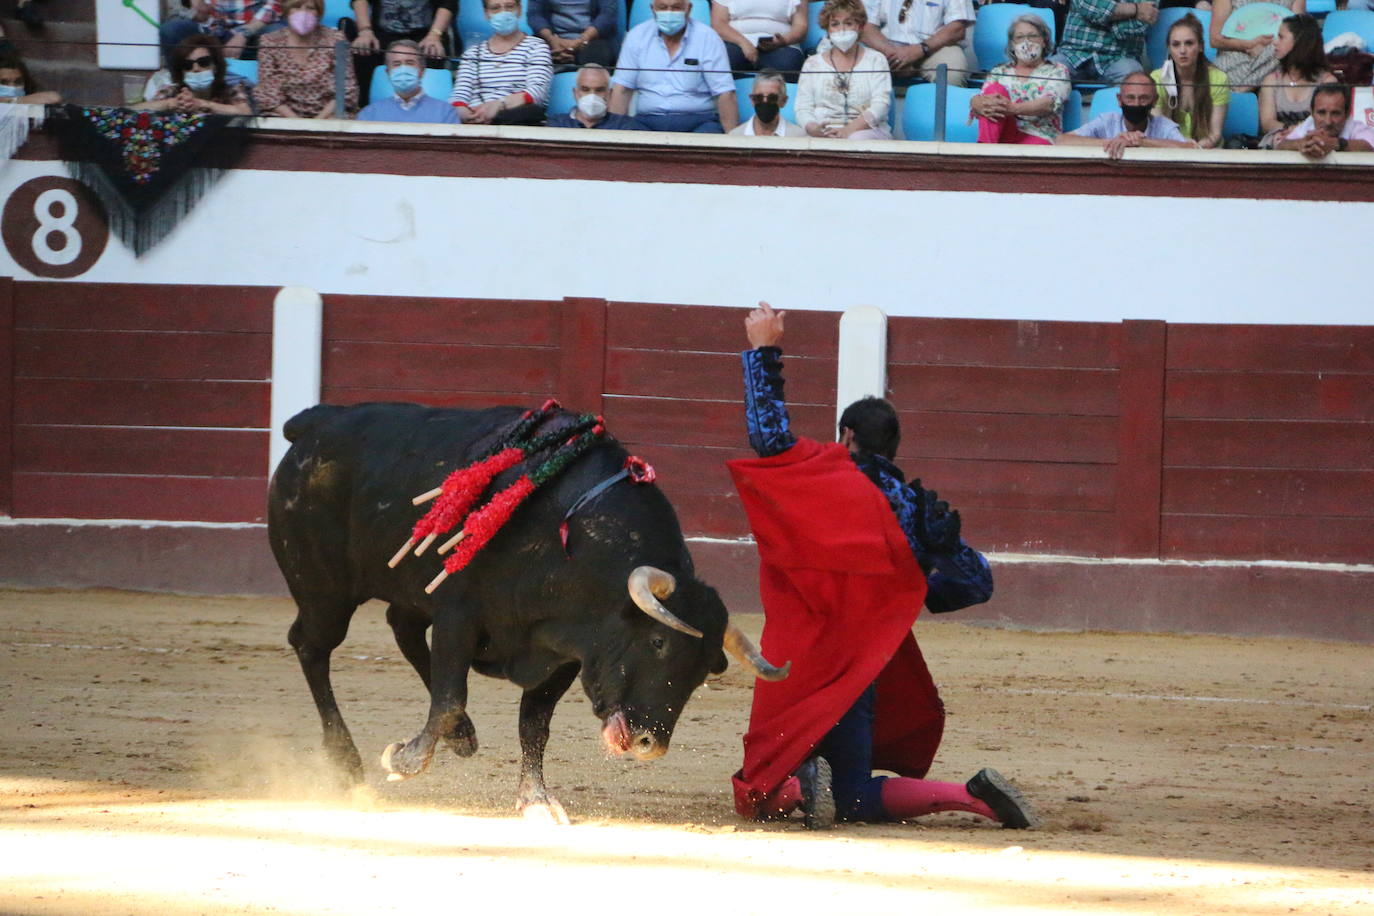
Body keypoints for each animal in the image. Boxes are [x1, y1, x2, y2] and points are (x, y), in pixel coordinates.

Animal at [267, 401, 785, 823]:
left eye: (703, 673)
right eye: (658, 641)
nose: (650, 745)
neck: (569, 537)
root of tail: (315, 422)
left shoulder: (564, 652)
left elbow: (533, 724)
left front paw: (536, 801)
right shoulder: (457, 615)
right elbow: (450, 696)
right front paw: (405, 760)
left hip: (402, 590)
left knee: (401, 627)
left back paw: (462, 737)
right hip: (325, 590)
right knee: (312, 646)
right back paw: (350, 770)